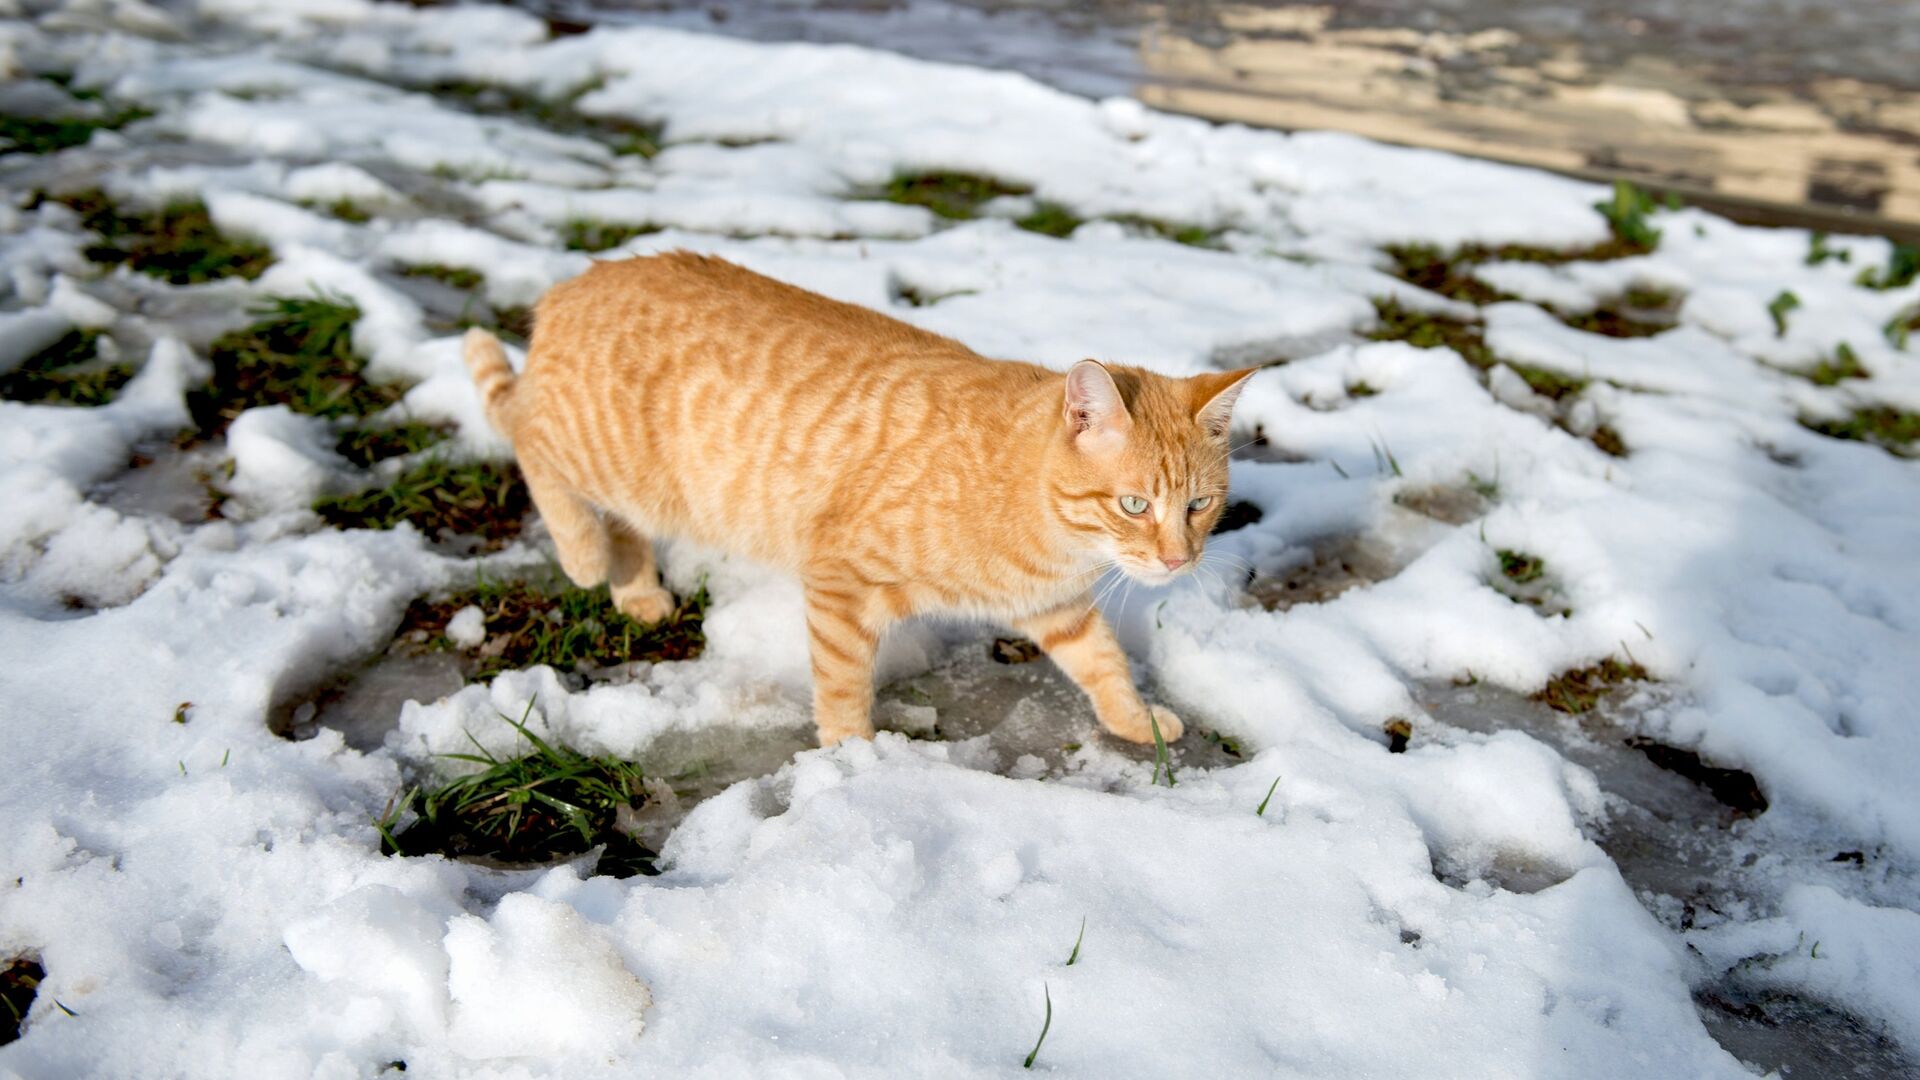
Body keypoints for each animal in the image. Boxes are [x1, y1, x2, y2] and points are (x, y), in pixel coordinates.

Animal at [466, 249, 1259, 737]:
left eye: (1199, 506)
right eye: (1134, 505)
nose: (1177, 561)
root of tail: (573, 282)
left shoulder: (1056, 607)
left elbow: (1104, 663)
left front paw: (1136, 721)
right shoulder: (839, 582)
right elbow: (844, 685)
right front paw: (852, 760)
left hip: (645, 491)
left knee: (618, 516)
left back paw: (637, 590)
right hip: (592, 449)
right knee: (528, 437)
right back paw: (583, 557)